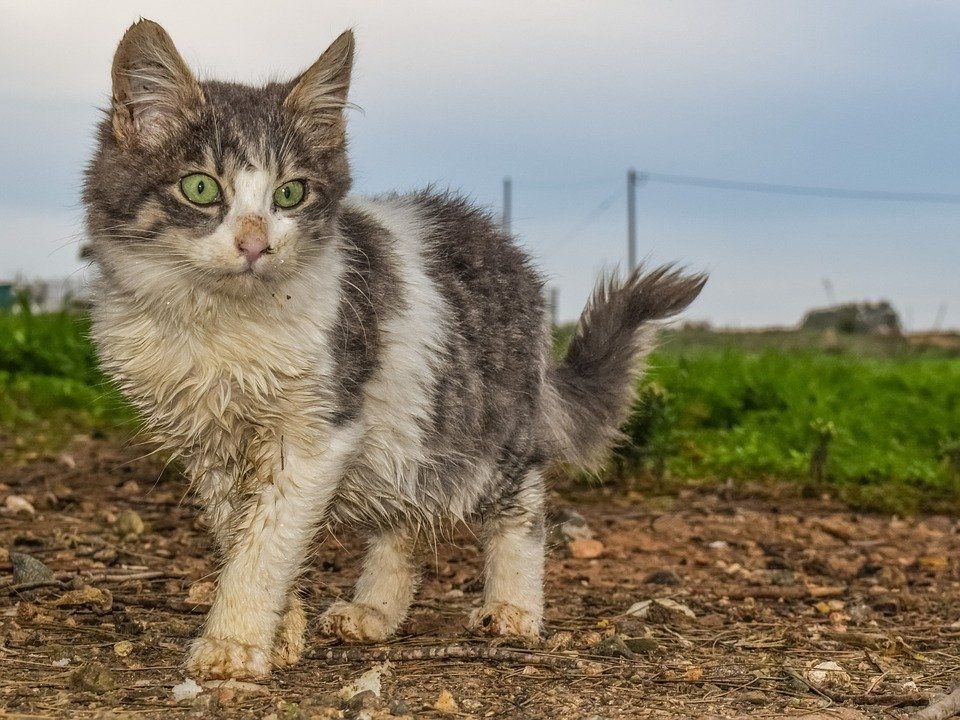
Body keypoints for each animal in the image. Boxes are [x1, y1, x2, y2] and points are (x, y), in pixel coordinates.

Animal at [82, 19, 704, 676]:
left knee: (524, 505)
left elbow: (268, 544)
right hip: (409, 440)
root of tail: (510, 251)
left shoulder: (317, 431)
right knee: (404, 523)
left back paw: (513, 608)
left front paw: (235, 642)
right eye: (201, 187)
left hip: (487, 431)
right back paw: (375, 612)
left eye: (290, 195)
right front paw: (281, 630)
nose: (256, 245)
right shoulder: (208, 449)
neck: (220, 325)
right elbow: (242, 536)